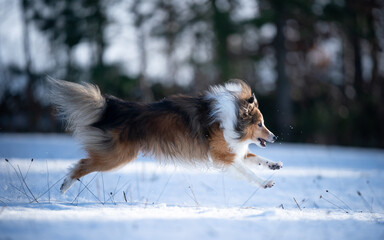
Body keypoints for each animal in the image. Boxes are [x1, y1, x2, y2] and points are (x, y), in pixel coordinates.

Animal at [47, 78, 282, 194]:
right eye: (260, 123)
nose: (275, 138)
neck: (233, 118)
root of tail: (114, 107)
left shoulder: (234, 151)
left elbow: (256, 159)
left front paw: (274, 165)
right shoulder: (223, 156)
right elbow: (248, 171)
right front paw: (265, 183)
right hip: (116, 156)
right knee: (81, 164)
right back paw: (64, 186)